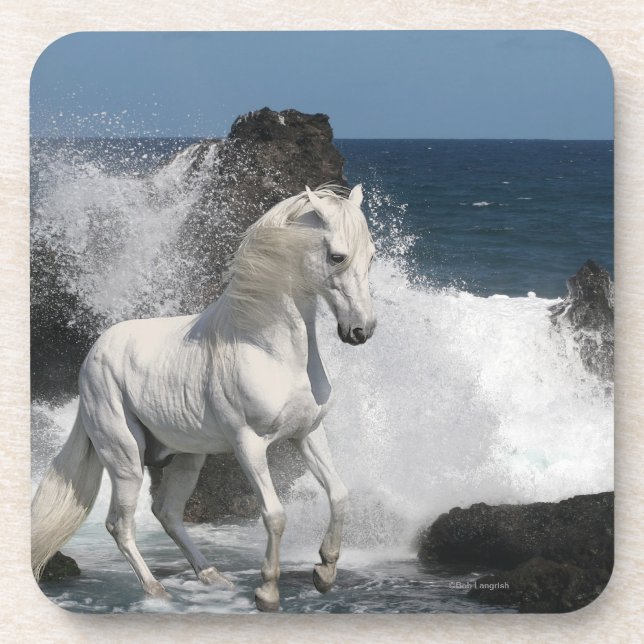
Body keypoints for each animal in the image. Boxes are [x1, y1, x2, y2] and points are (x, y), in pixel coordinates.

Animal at [31, 184, 376, 611]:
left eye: (372, 255)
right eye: (337, 256)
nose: (361, 331)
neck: (269, 348)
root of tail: (93, 354)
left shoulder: (308, 433)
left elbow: (339, 494)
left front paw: (324, 573)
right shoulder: (249, 445)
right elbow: (275, 514)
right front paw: (267, 592)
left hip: (187, 457)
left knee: (166, 512)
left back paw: (212, 576)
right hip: (125, 458)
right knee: (120, 523)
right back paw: (157, 591)